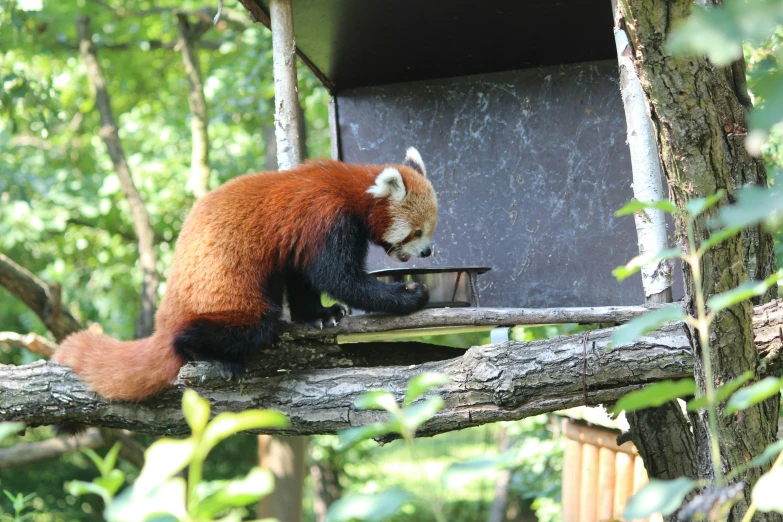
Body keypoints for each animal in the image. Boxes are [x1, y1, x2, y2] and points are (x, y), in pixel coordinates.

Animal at [54, 146, 438, 398]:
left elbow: (303, 279)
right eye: (416, 232)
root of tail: (164, 320)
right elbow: (339, 278)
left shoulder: (299, 239)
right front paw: (407, 295)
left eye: (429, 229)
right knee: (246, 328)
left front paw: (319, 314)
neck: (351, 188)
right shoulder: (326, 219)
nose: (428, 252)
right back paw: (205, 353)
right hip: (229, 302)